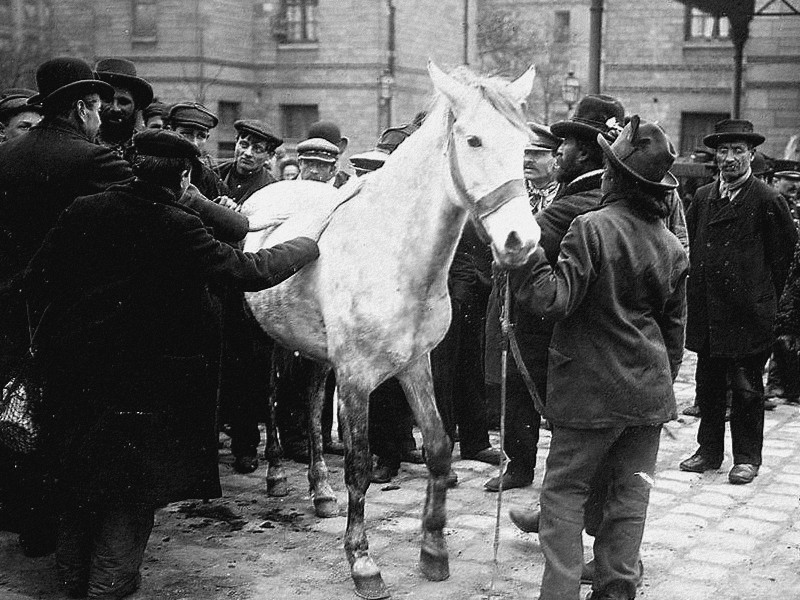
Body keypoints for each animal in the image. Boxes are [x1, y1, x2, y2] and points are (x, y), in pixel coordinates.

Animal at [241, 62, 536, 600]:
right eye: (474, 140)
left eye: (524, 144)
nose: (520, 241)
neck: (392, 254)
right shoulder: (357, 378)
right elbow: (360, 465)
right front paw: (362, 563)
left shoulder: (414, 363)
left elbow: (439, 447)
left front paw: (434, 551)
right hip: (270, 341)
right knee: (272, 400)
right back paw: (274, 472)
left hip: (316, 352)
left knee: (311, 405)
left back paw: (320, 490)